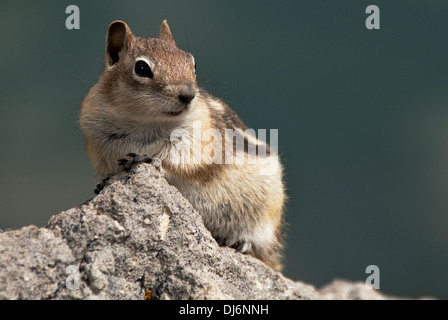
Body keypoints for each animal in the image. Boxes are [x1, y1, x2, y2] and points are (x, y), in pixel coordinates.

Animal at [79, 20, 286, 270]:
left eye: (191, 62)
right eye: (142, 68)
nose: (188, 95)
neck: (143, 121)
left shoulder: (197, 136)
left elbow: (181, 160)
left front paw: (149, 159)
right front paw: (103, 182)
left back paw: (240, 242)